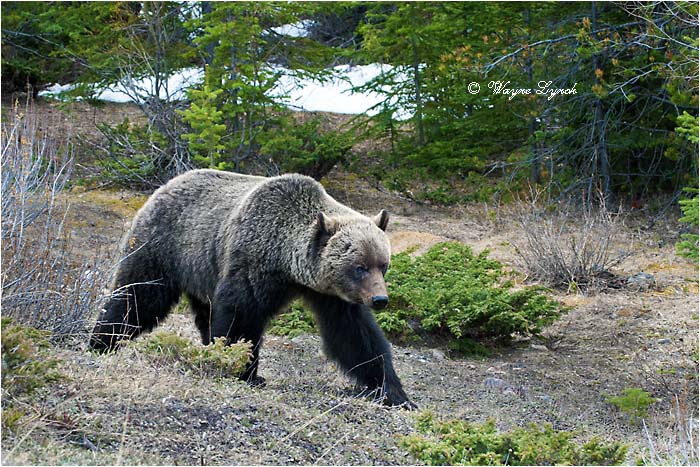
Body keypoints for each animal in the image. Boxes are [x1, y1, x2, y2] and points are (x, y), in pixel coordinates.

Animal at [89, 169, 414, 408]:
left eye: (383, 264)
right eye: (359, 267)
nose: (380, 299)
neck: (286, 262)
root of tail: (164, 186)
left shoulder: (331, 294)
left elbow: (355, 336)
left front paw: (393, 391)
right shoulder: (251, 261)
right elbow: (240, 318)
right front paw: (242, 371)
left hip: (202, 269)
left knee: (202, 312)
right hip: (163, 247)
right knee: (137, 296)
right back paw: (101, 340)